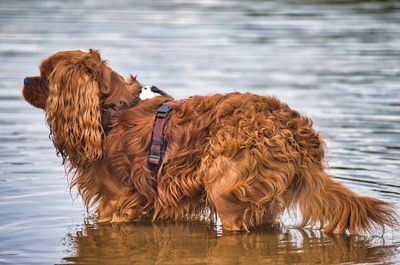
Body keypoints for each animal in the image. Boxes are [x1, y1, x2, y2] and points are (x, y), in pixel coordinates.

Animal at [22, 49, 396, 233]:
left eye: (44, 78)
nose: (24, 80)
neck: (112, 110)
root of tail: (298, 132)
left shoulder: (116, 202)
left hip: (226, 189)